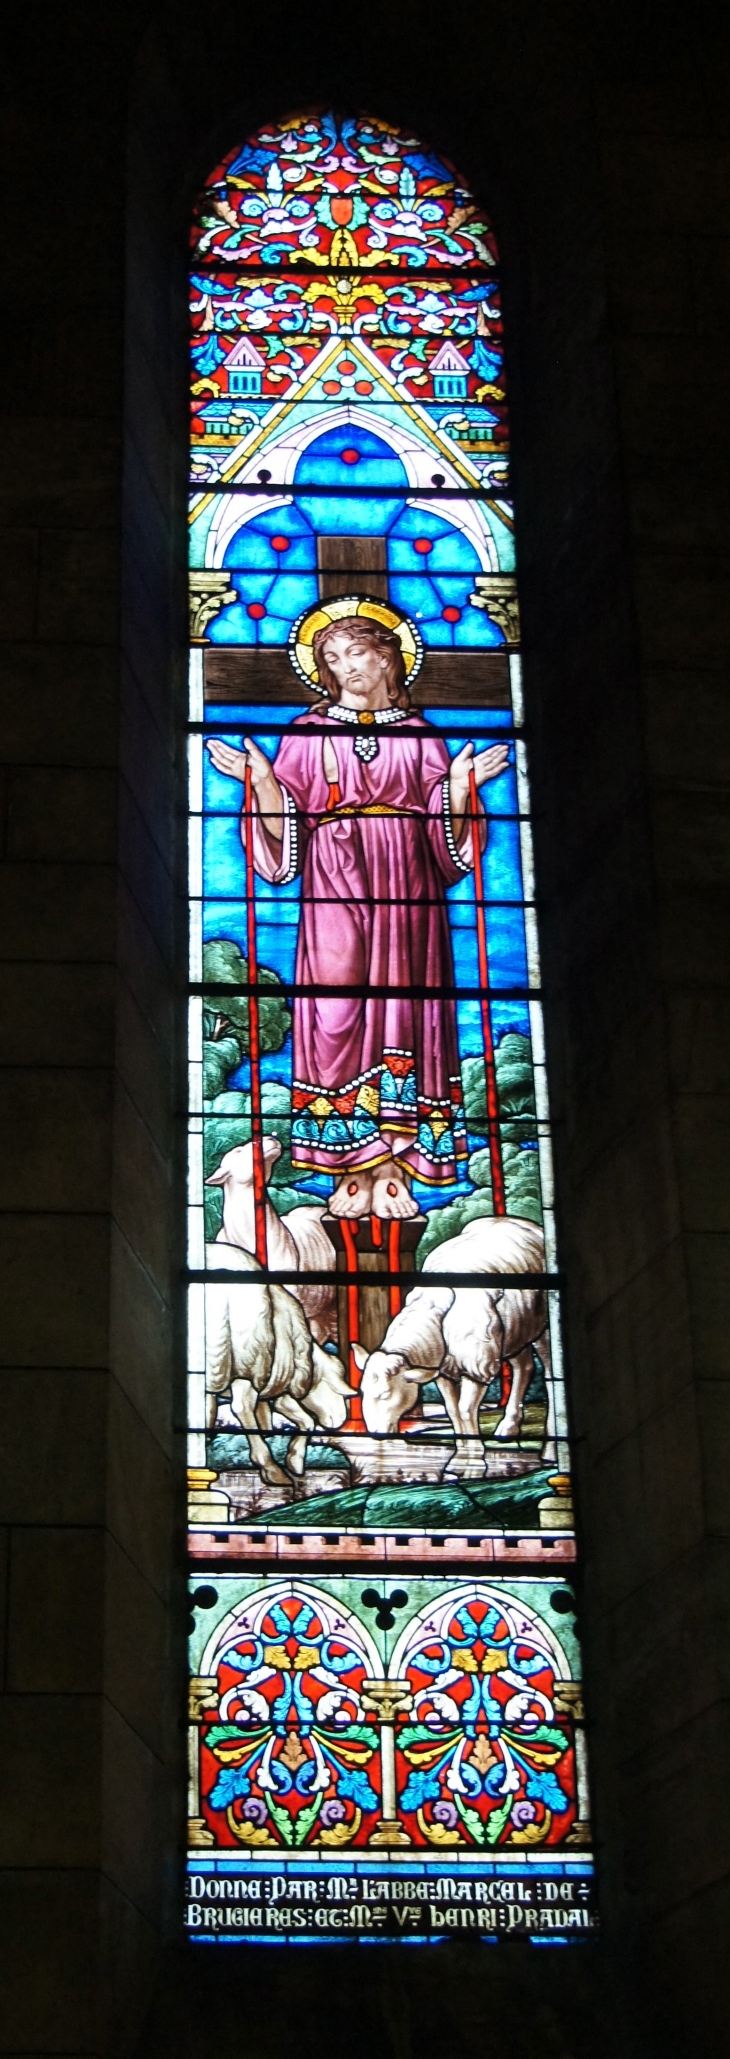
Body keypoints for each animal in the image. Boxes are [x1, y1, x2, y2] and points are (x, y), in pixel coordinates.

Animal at [204, 1227, 353, 1490]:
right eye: (339, 1391)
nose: (339, 1421)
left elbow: (305, 1421)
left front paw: (294, 1461)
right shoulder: (278, 1375)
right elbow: (306, 1420)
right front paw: (292, 1462)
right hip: (250, 1357)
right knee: (241, 1407)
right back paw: (270, 1468)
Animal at [353, 1202, 555, 1482]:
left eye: (385, 1394)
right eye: (361, 1392)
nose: (375, 1434)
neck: (435, 1310)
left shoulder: (477, 1364)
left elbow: (466, 1409)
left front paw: (474, 1466)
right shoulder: (443, 1370)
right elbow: (453, 1410)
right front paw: (459, 1462)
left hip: (541, 1328)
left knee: (549, 1375)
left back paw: (550, 1450)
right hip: (515, 1329)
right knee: (524, 1367)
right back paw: (508, 1426)